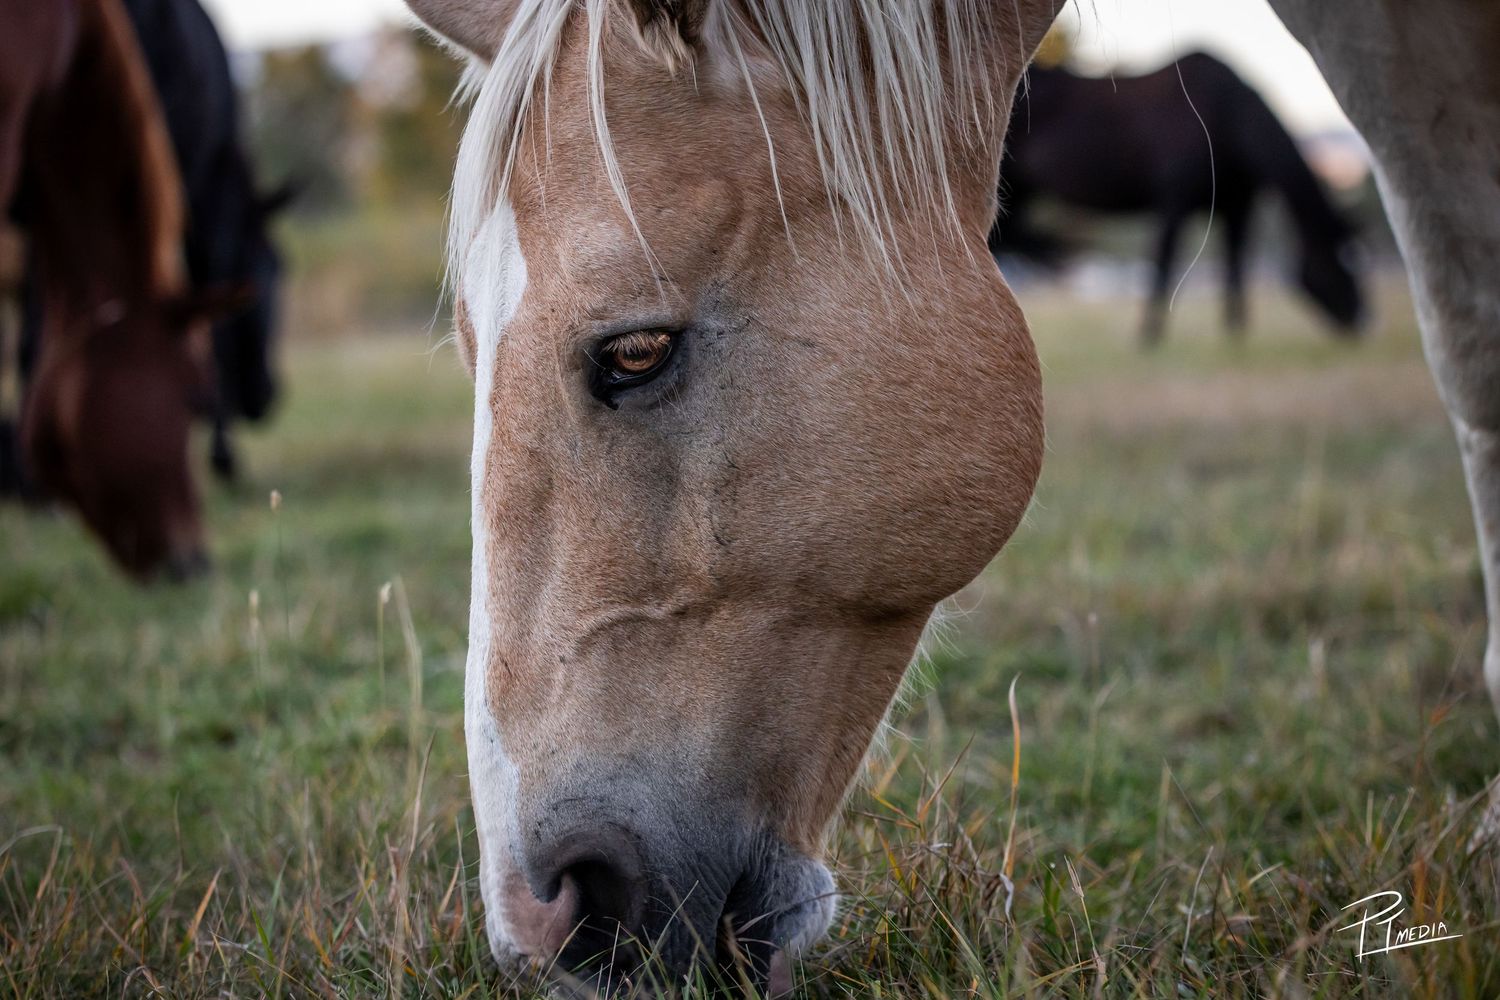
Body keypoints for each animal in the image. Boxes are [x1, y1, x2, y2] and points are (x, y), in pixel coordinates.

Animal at [991, 52, 1366, 345]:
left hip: (1021, 192)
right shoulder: (1174, 203)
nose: (1361, 319)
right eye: (1334, 262)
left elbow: (1235, 266)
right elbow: (1164, 263)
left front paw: (1235, 335)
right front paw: (1149, 336)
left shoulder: (1237, 206)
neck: (1225, 116)